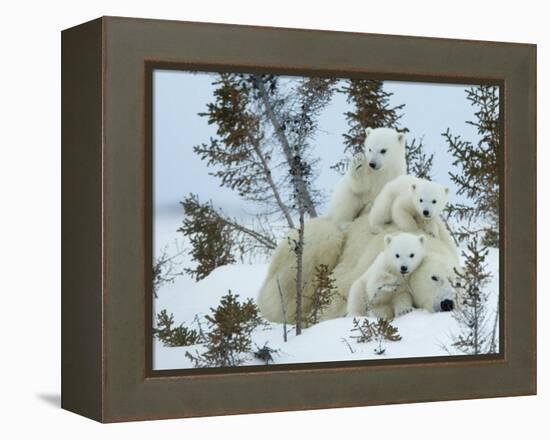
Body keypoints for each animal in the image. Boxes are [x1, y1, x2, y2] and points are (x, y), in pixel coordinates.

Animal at [256, 127, 408, 324]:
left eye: (383, 150)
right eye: (369, 149)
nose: (372, 163)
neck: (382, 173)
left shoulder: (393, 177)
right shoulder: (367, 182)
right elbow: (358, 187)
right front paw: (358, 164)